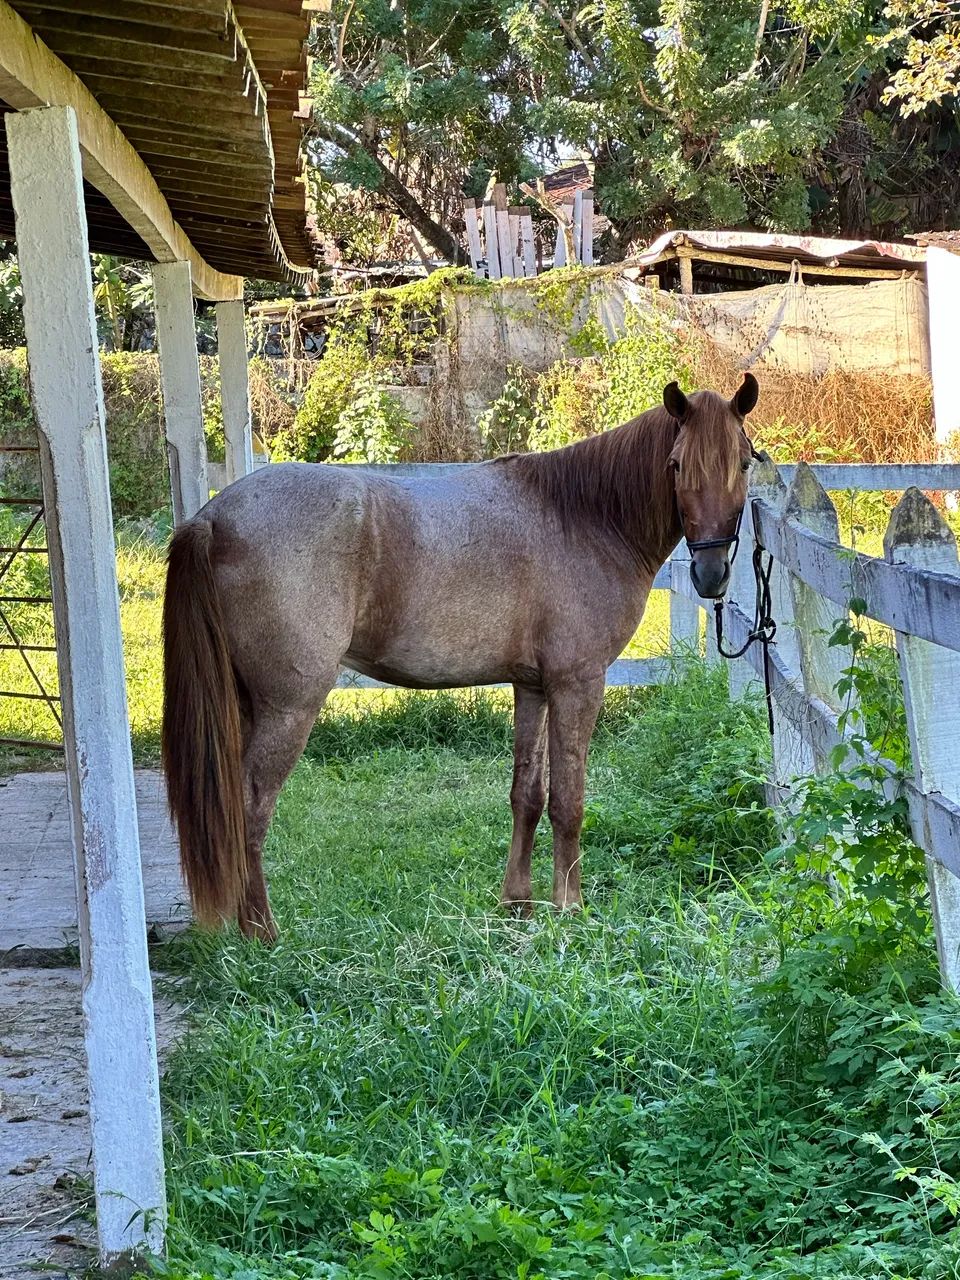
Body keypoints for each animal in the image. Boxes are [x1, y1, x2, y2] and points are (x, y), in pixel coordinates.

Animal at [162, 374, 759, 942]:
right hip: (288, 709)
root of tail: (212, 518)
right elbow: (568, 801)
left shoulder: (533, 686)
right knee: (249, 811)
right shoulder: (577, 684)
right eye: (677, 464)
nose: (711, 575)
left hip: (247, 704)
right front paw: (570, 908)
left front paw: (517, 902)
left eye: (744, 462)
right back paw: (262, 934)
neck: (583, 518)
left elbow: (528, 795)